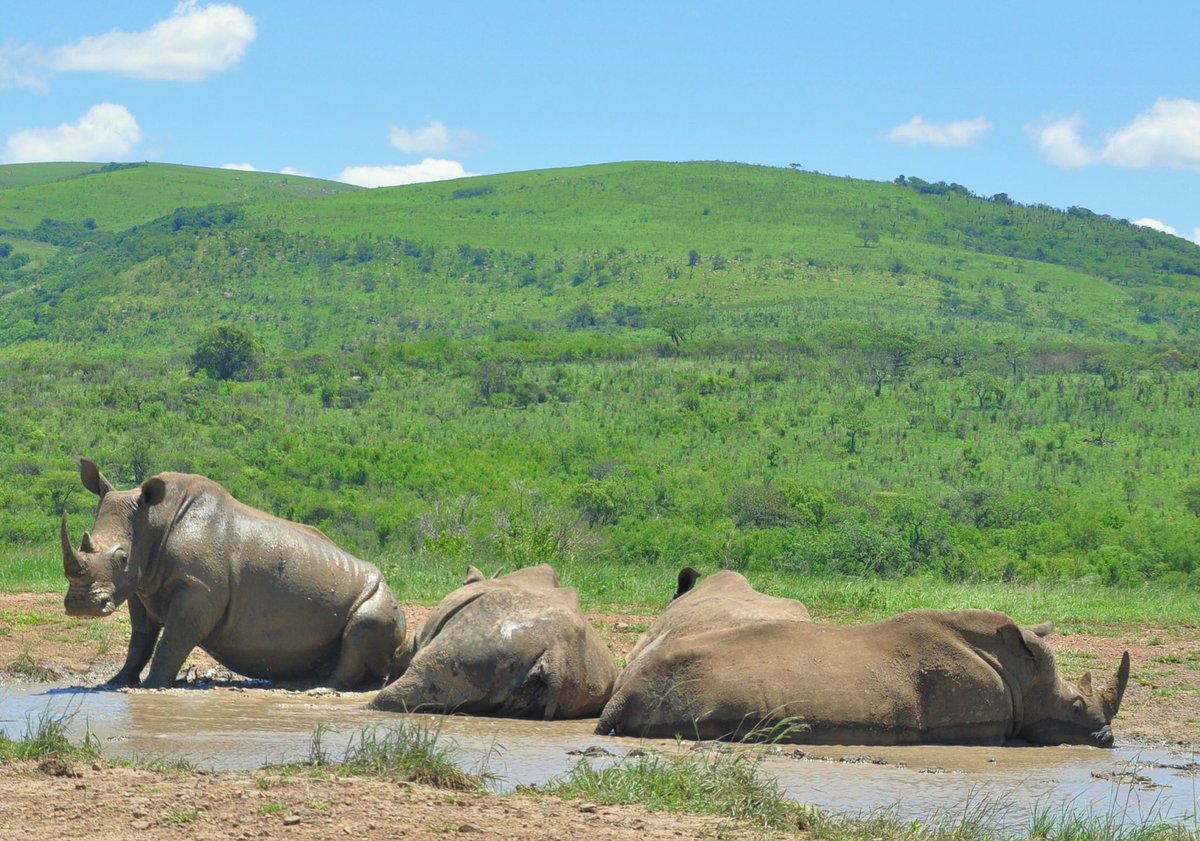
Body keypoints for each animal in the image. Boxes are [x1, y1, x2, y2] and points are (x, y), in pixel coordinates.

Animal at [61, 460, 407, 690]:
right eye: (86, 542)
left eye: (122, 558)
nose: (80, 605)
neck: (154, 520)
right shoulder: (140, 584)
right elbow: (140, 640)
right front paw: (115, 683)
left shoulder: (198, 590)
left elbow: (172, 642)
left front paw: (151, 686)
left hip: (381, 597)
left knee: (364, 623)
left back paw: (321, 688)